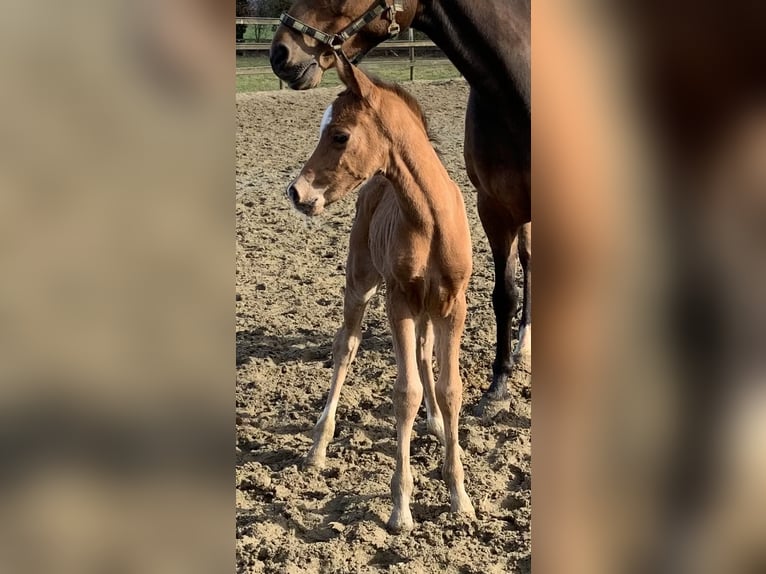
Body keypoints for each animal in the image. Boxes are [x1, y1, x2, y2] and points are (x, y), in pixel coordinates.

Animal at [292, 55, 476, 536]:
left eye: (339, 134)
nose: (296, 193)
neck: (430, 218)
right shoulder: (400, 303)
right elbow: (405, 393)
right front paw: (400, 507)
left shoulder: (453, 306)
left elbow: (450, 389)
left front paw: (460, 496)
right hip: (360, 282)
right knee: (346, 346)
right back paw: (318, 446)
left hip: (428, 307)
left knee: (426, 354)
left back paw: (435, 424)